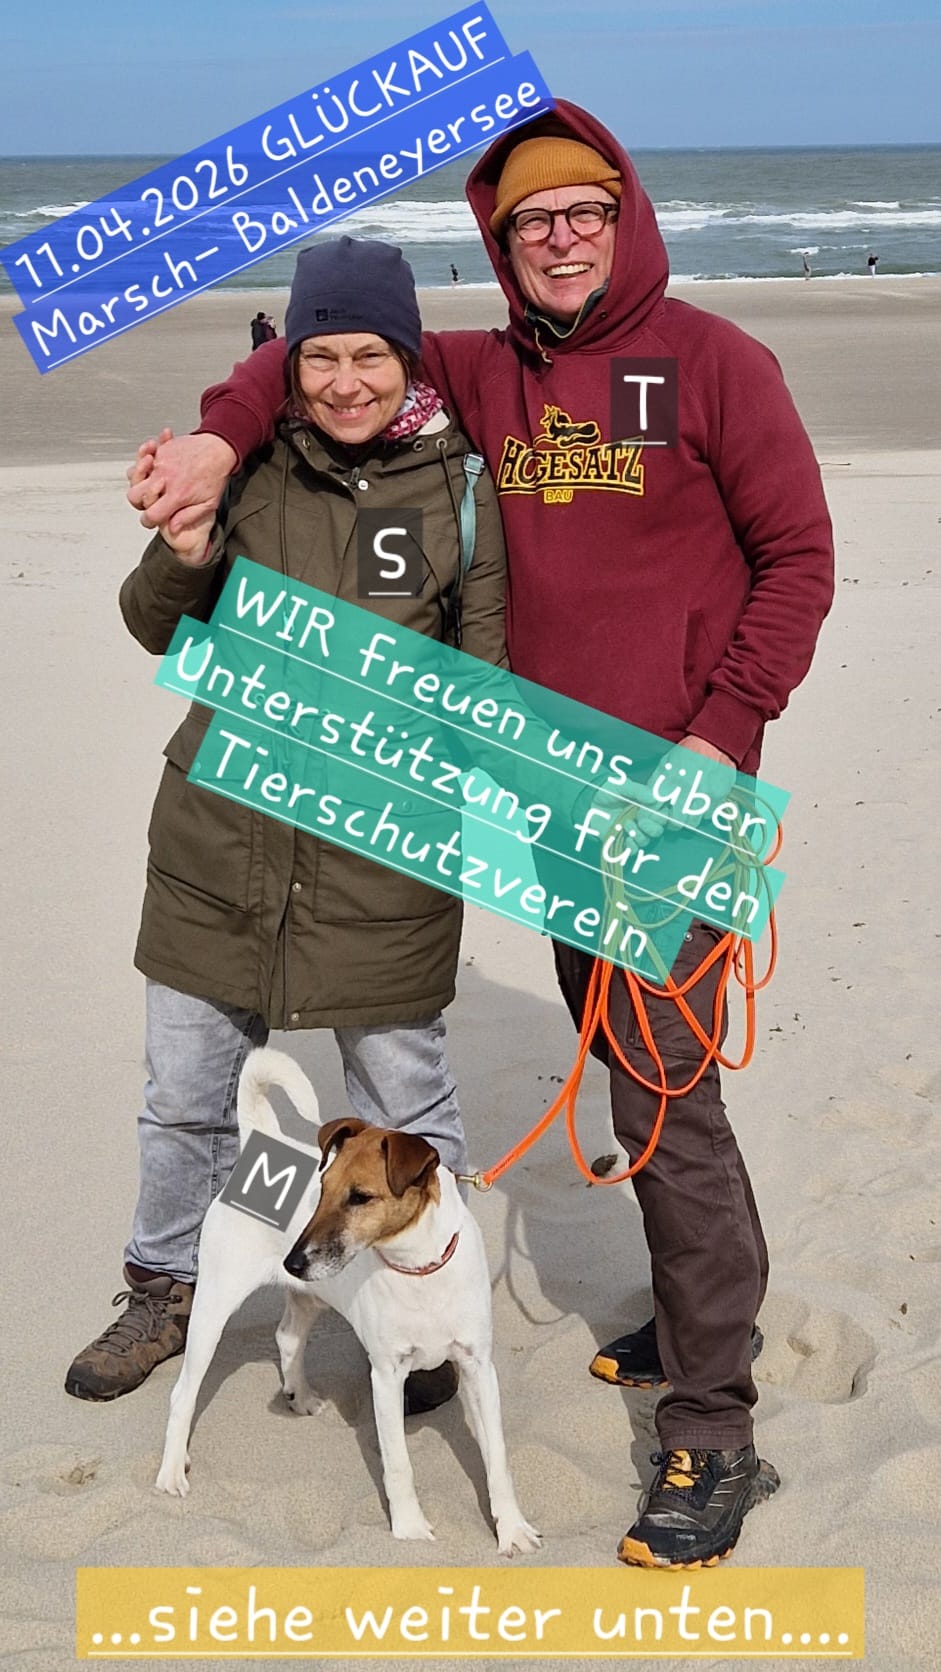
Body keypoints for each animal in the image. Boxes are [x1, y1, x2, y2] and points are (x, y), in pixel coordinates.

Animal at [156, 1047, 540, 1557]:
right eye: (321, 1189)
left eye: (361, 1197)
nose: (294, 1261)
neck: (417, 1269)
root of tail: (262, 1137)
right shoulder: (386, 1375)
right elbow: (398, 1465)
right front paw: (410, 1531)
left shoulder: (479, 1367)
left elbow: (497, 1460)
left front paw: (512, 1529)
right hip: (214, 1307)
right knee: (183, 1393)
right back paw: (170, 1473)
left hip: (308, 1297)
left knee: (287, 1336)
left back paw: (300, 1397)